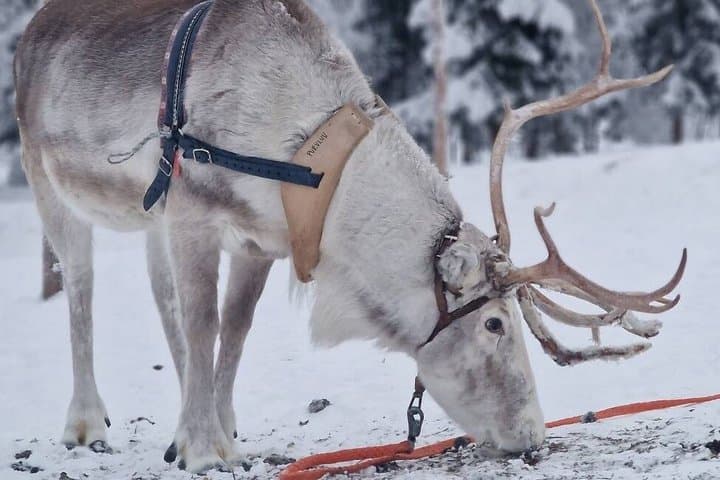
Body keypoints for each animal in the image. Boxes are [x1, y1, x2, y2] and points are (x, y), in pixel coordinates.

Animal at [13, 0, 685, 473]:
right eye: (495, 323)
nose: (533, 438)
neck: (306, 161)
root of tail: (33, 27)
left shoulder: (261, 241)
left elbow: (233, 331)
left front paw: (220, 435)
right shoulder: (193, 214)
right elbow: (206, 324)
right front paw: (204, 450)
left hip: (149, 220)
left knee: (162, 300)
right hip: (46, 180)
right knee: (80, 287)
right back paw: (86, 425)